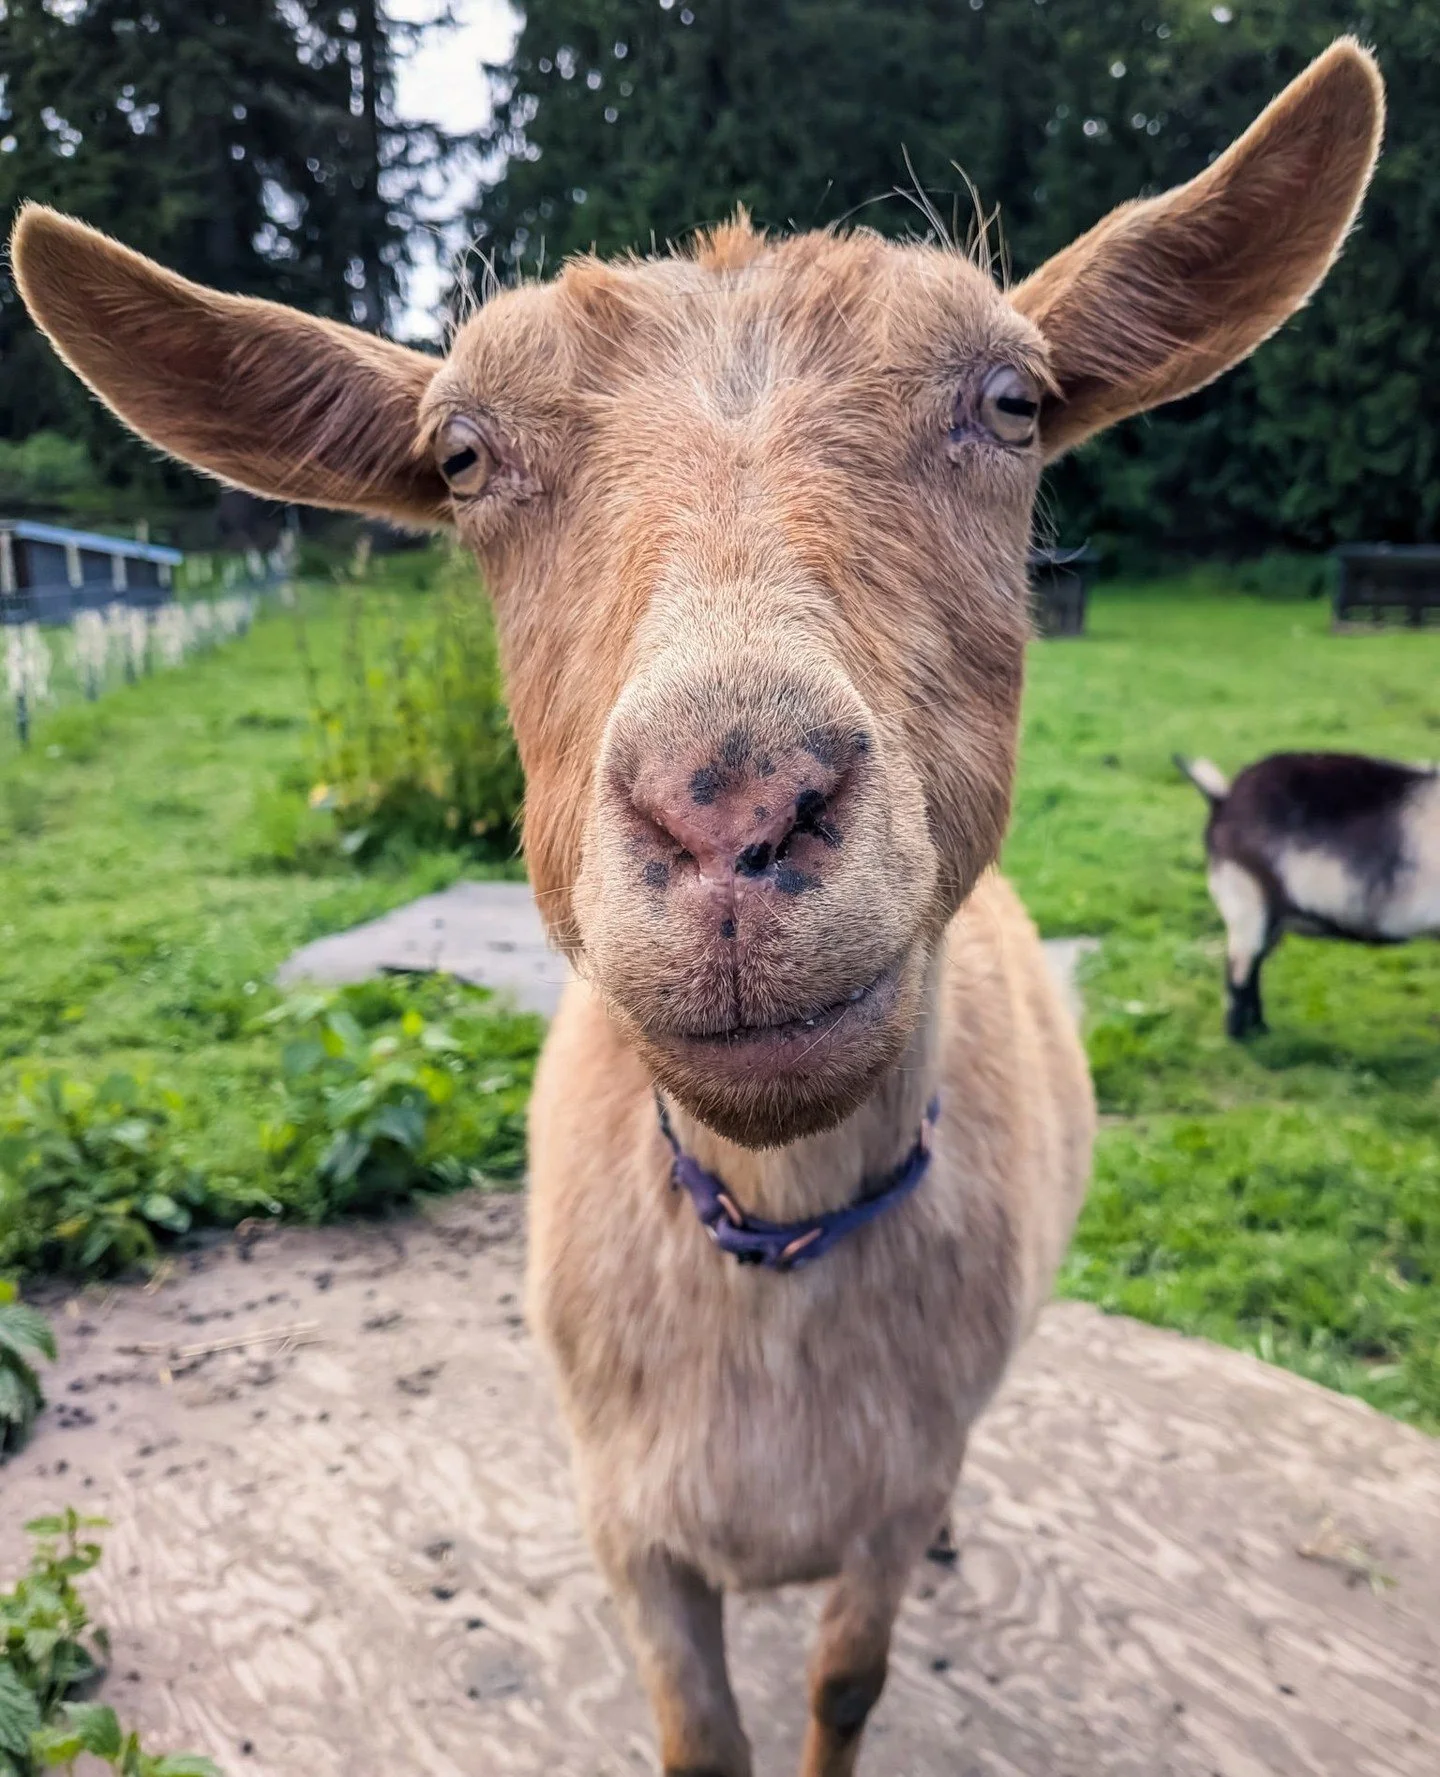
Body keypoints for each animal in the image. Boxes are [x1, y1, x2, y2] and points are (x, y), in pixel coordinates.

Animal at [11, 40, 1382, 1775]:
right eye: (461, 458)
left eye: (1011, 404)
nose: (733, 800)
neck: (774, 1239)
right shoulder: (627, 1527)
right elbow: (698, 1732)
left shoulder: (886, 1504)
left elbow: (845, 1682)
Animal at [1178, 750, 1440, 1038]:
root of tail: (1223, 799)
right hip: (1246, 899)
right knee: (1240, 971)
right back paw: (1241, 1039)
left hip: (1269, 917)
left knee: (1254, 965)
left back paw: (1261, 1031)